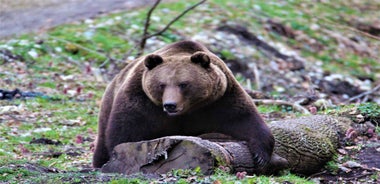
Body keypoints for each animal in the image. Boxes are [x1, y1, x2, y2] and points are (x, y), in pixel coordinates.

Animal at [93, 40, 274, 172]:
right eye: (162, 84)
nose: (170, 105)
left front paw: (260, 156)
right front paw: (121, 158)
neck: (188, 111)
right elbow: (127, 130)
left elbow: (244, 119)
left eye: (183, 84)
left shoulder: (220, 100)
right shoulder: (141, 100)